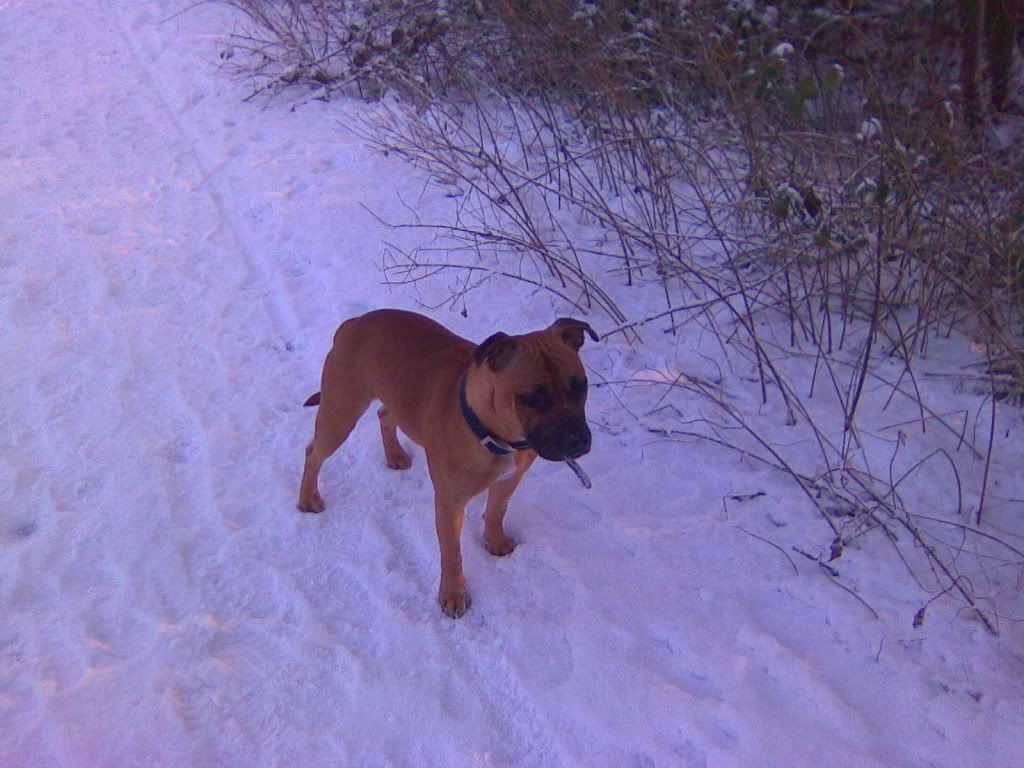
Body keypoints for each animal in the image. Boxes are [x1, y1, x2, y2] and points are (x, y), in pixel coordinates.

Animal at [299, 309, 598, 618]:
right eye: (533, 398)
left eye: (580, 385)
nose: (577, 439)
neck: (493, 433)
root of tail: (353, 322)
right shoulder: (450, 503)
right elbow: (452, 551)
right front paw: (453, 594)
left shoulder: (509, 479)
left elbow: (497, 510)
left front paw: (496, 541)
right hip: (340, 415)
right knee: (313, 453)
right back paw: (309, 498)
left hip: (397, 399)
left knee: (384, 415)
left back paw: (394, 454)